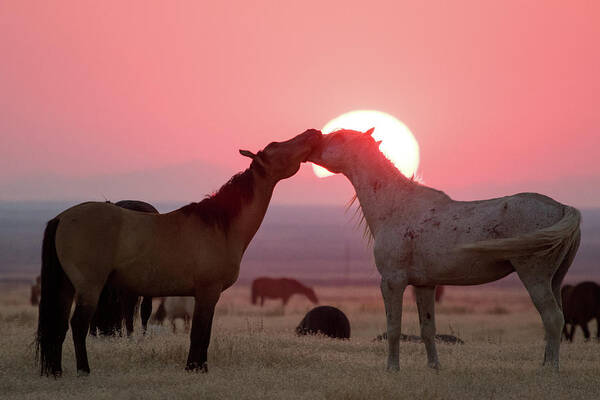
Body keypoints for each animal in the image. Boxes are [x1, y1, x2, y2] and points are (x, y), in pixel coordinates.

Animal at [308, 130, 580, 370]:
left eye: (338, 136)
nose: (313, 139)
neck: (397, 206)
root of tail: (562, 207)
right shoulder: (424, 285)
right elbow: (428, 329)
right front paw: (434, 366)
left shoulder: (392, 282)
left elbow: (394, 328)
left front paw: (392, 368)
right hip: (555, 279)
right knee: (557, 318)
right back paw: (546, 363)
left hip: (534, 277)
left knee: (552, 318)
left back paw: (550, 369)